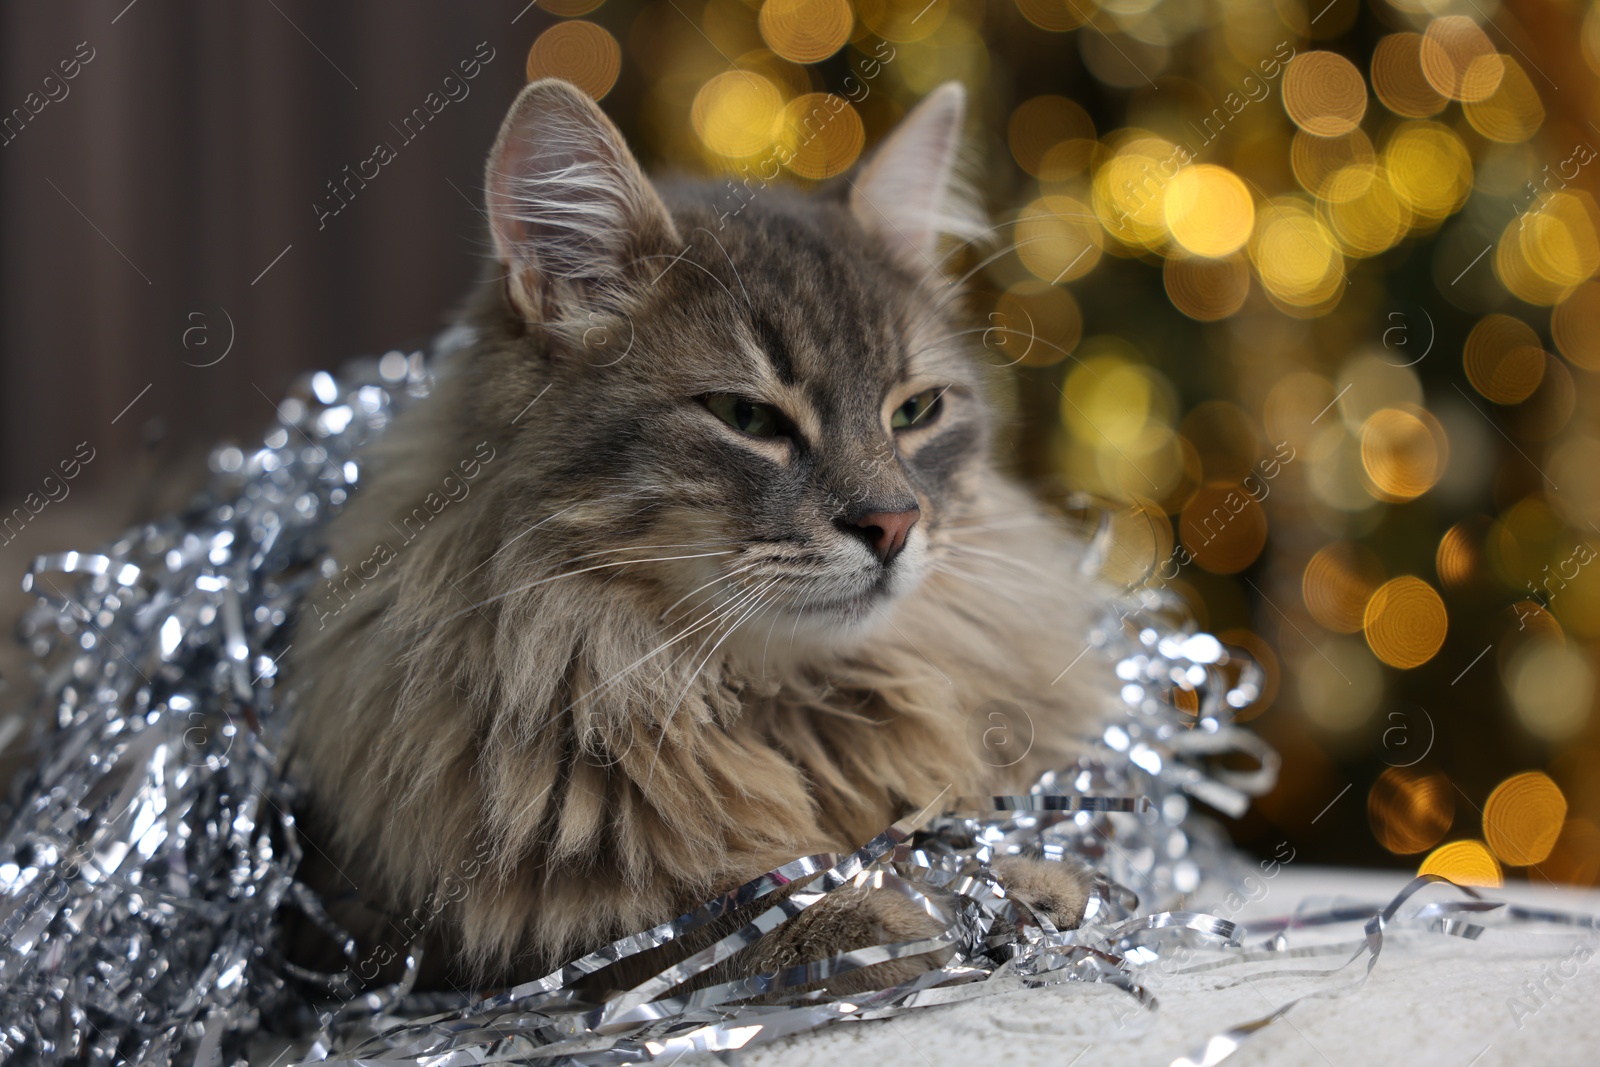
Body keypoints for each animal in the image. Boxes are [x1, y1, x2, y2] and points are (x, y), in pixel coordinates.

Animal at [284, 79, 1113, 998]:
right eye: (747, 418)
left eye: (916, 412)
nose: (894, 522)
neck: (770, 696)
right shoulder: (431, 938)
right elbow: (714, 918)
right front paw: (884, 923)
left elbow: (950, 829)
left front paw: (1018, 884)